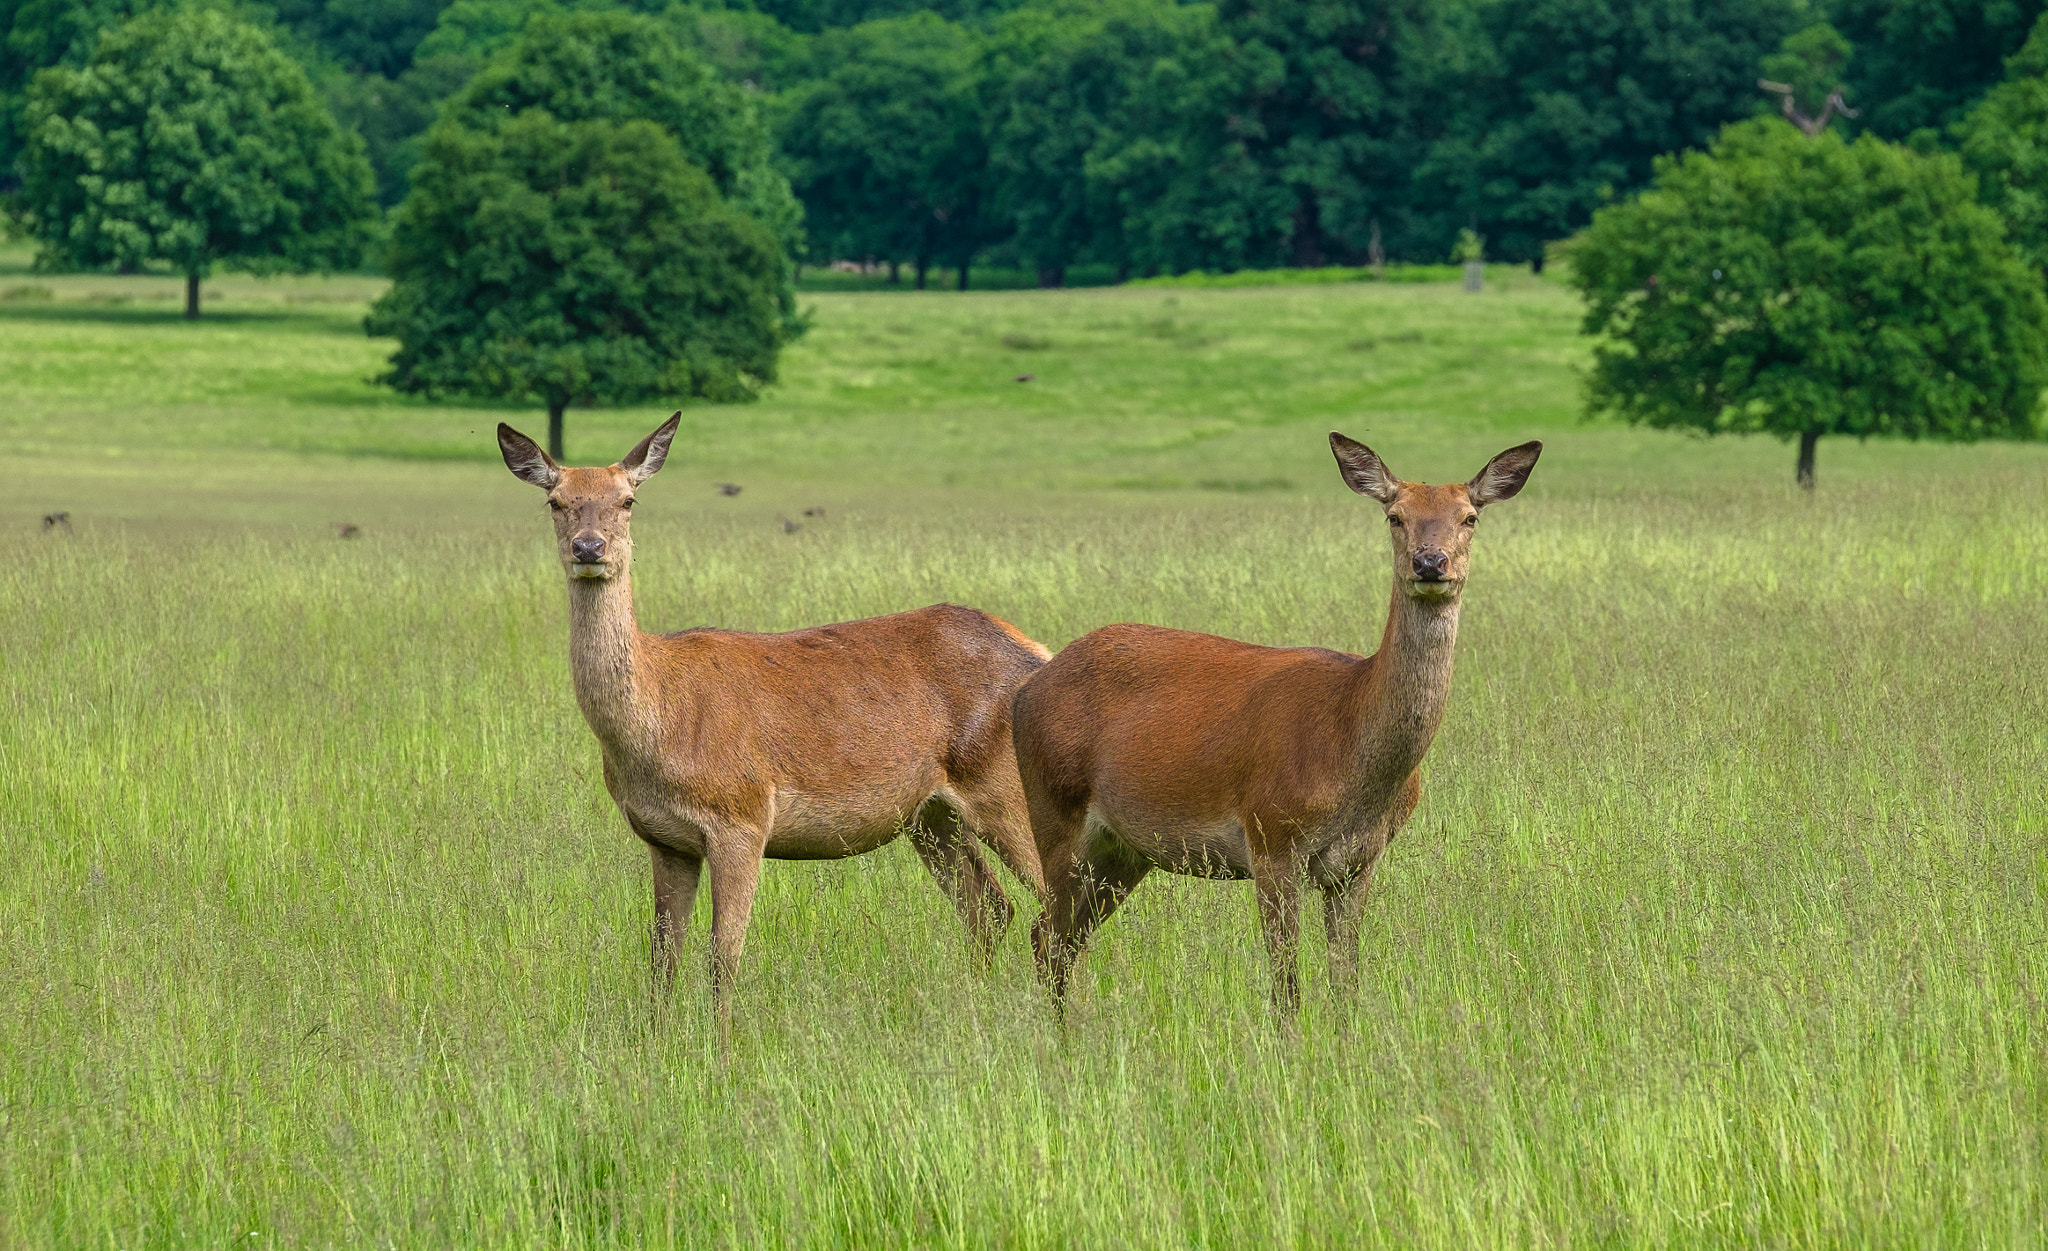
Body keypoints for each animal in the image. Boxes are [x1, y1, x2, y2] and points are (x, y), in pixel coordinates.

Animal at [501, 415, 1048, 1011]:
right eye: (555, 501)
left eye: (628, 500)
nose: (588, 547)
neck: (660, 718)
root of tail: (1038, 652)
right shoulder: (663, 839)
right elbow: (662, 960)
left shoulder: (742, 817)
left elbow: (723, 958)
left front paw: (721, 1037)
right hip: (929, 815)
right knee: (990, 907)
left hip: (1005, 786)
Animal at [1007, 429, 1540, 1019]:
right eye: (1394, 516)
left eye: (1470, 516)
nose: (1429, 562)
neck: (1349, 743)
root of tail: (1027, 688)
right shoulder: (1270, 836)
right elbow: (1286, 986)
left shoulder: (1361, 861)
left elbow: (1345, 980)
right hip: (1053, 811)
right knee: (1049, 935)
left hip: (1124, 849)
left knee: (1060, 938)